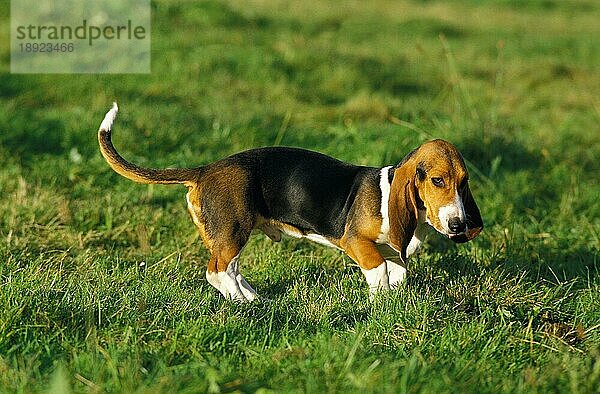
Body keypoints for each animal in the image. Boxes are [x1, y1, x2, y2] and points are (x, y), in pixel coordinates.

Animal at [98, 103, 482, 300]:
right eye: (437, 180)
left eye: (464, 183)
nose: (458, 225)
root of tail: (205, 169)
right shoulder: (357, 243)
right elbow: (379, 271)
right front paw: (380, 305)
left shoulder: (395, 252)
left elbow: (397, 272)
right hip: (234, 230)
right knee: (217, 271)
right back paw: (244, 303)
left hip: (231, 235)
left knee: (228, 270)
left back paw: (253, 297)